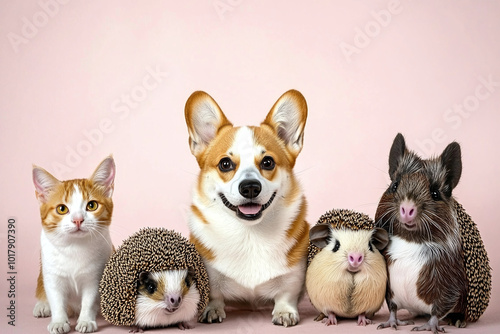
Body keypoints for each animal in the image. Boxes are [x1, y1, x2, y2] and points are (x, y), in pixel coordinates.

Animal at [31, 157, 115, 334]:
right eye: (62, 209)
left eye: (92, 205)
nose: (78, 220)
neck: (74, 246)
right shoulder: (52, 275)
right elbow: (56, 298)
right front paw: (58, 321)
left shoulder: (96, 276)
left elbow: (90, 299)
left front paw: (86, 320)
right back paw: (42, 306)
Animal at [184, 88, 308, 326]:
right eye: (225, 164)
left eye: (268, 162)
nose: (250, 187)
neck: (249, 235)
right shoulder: (209, 273)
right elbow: (214, 293)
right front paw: (212, 310)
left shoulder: (293, 274)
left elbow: (286, 293)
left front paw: (284, 312)